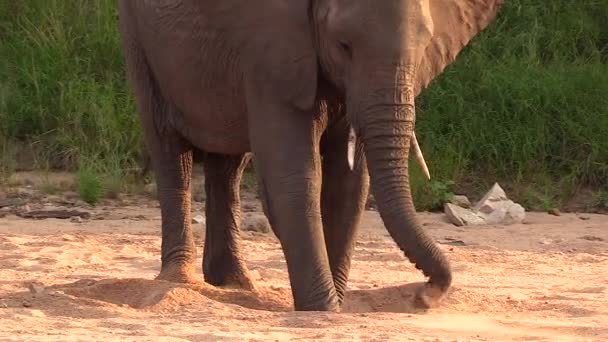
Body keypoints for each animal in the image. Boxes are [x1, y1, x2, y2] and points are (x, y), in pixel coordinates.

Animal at [116, 0, 502, 312]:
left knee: (229, 163)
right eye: (344, 46)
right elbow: (295, 180)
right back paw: (178, 280)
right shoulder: (271, 52)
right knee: (170, 150)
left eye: (424, 49)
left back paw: (234, 284)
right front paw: (324, 308)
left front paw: (334, 306)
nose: (426, 294)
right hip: (139, 39)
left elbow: (347, 187)